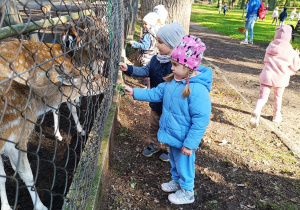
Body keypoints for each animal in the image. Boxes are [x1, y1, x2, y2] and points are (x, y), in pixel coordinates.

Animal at [0, 63, 106, 209]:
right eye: (92, 78)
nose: (107, 81)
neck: (35, 105)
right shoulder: (18, 137)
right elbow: (28, 176)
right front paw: (41, 206)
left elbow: (2, 177)